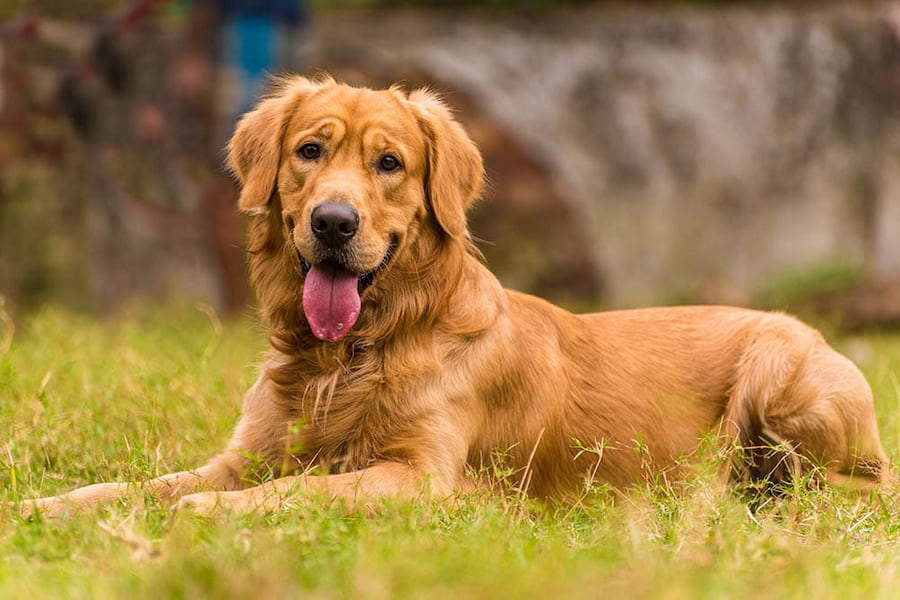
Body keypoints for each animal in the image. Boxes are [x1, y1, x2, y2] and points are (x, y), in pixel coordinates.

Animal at [24, 75, 888, 516]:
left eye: (390, 164)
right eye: (309, 151)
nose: (332, 222)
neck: (351, 355)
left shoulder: (421, 475)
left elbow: (295, 492)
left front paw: (205, 519)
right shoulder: (246, 453)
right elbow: (146, 485)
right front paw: (54, 506)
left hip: (781, 366)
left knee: (857, 488)